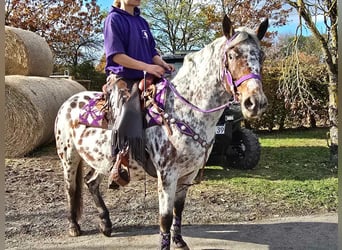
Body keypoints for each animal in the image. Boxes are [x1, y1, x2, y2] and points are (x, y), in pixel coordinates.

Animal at [53, 15, 268, 250]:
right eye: (232, 55)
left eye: (261, 56)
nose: (255, 103)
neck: (184, 111)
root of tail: (69, 101)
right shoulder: (167, 175)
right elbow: (165, 217)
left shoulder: (188, 174)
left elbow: (178, 210)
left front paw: (179, 241)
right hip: (69, 158)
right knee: (70, 189)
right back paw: (74, 226)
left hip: (102, 160)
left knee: (91, 183)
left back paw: (106, 224)